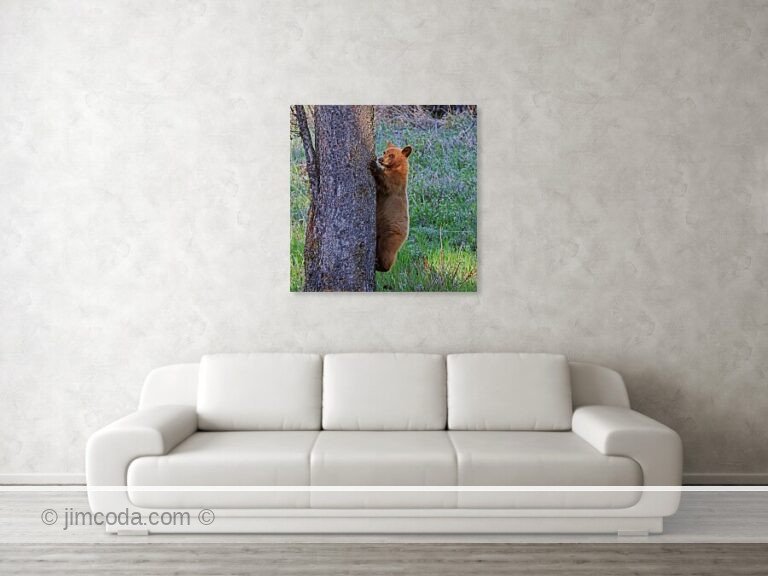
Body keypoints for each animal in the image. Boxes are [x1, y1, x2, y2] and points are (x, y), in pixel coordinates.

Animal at [369, 142, 413, 272]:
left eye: (392, 155)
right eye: (385, 152)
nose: (380, 159)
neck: (395, 168)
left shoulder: (396, 183)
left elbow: (387, 183)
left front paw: (374, 166)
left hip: (392, 234)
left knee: (386, 250)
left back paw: (381, 266)